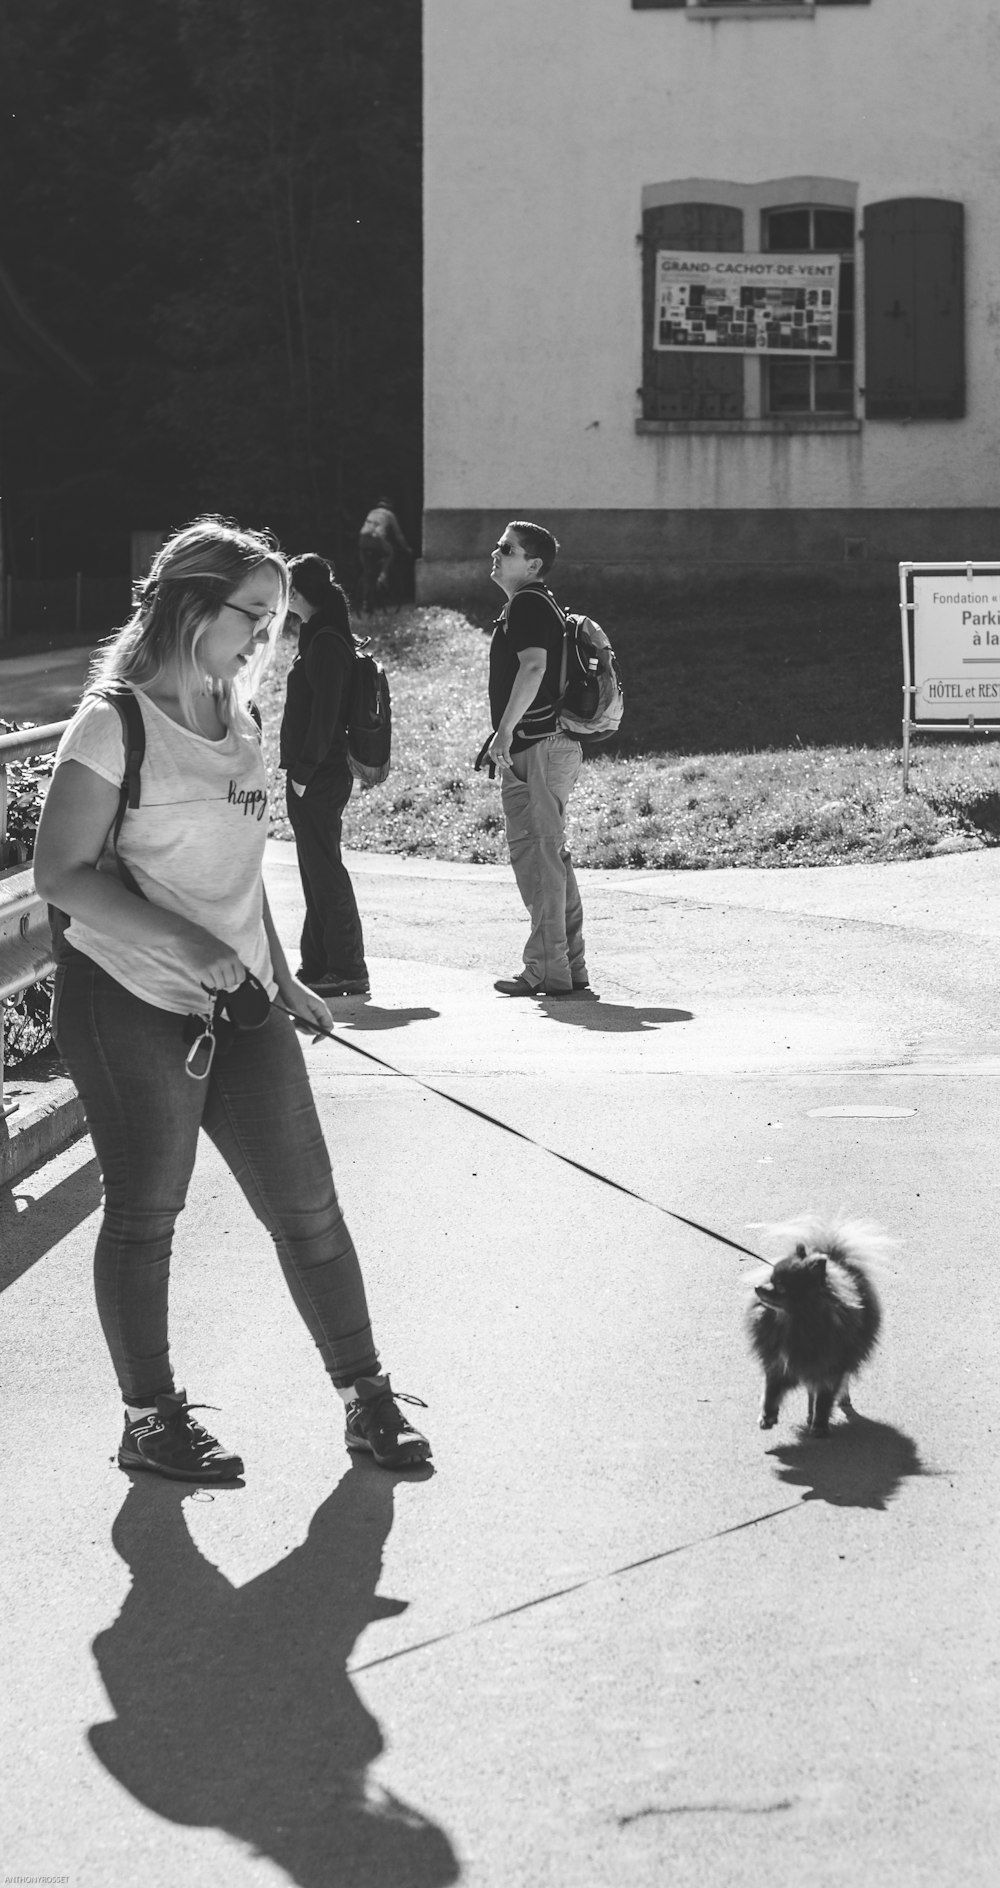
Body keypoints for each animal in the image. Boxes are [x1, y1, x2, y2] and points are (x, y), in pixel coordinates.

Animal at [747, 1215, 879, 1434]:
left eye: (780, 1287)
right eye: (770, 1279)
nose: (758, 1287)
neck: (795, 1323)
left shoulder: (828, 1366)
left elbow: (824, 1399)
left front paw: (819, 1426)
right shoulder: (778, 1363)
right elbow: (771, 1391)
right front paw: (767, 1416)